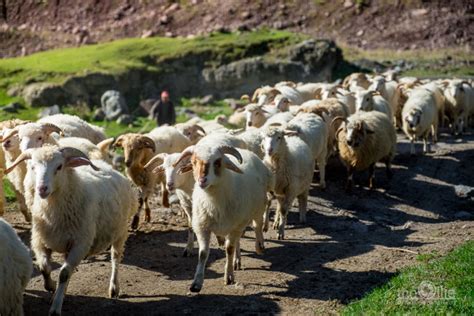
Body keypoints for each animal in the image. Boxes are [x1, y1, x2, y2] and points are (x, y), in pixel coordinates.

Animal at [6, 146, 138, 316]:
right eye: (33, 167)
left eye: (59, 166)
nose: (42, 189)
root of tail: (109, 167)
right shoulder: (40, 240)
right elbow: (44, 267)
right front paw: (51, 287)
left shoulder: (80, 244)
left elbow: (64, 273)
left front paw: (55, 307)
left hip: (120, 232)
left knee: (115, 258)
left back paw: (114, 288)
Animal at [172, 139, 272, 292]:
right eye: (193, 162)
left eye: (218, 162)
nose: (202, 180)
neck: (213, 201)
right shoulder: (203, 227)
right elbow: (203, 254)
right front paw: (196, 283)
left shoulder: (235, 226)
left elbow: (229, 249)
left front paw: (229, 276)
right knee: (239, 240)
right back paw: (237, 261)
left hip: (258, 206)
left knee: (257, 225)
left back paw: (259, 246)